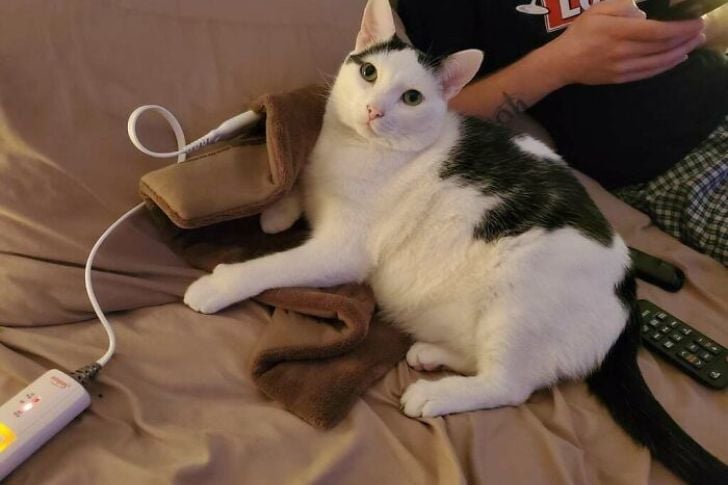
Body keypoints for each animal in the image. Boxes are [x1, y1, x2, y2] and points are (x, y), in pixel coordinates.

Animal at [184, 0, 727, 482]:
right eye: (369, 74)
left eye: (412, 98)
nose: (374, 110)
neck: (355, 151)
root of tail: (629, 301)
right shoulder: (318, 175)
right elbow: (299, 187)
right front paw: (277, 212)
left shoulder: (340, 251)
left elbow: (271, 268)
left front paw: (219, 285)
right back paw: (433, 353)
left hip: (517, 297)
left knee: (510, 384)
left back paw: (436, 394)